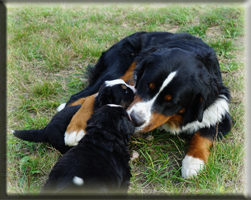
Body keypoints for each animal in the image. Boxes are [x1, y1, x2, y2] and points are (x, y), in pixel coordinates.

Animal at [60, 31, 231, 178]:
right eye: (146, 86)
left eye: (170, 102)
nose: (134, 120)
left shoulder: (219, 109)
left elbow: (204, 134)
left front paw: (193, 162)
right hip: (119, 67)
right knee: (87, 94)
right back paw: (74, 128)